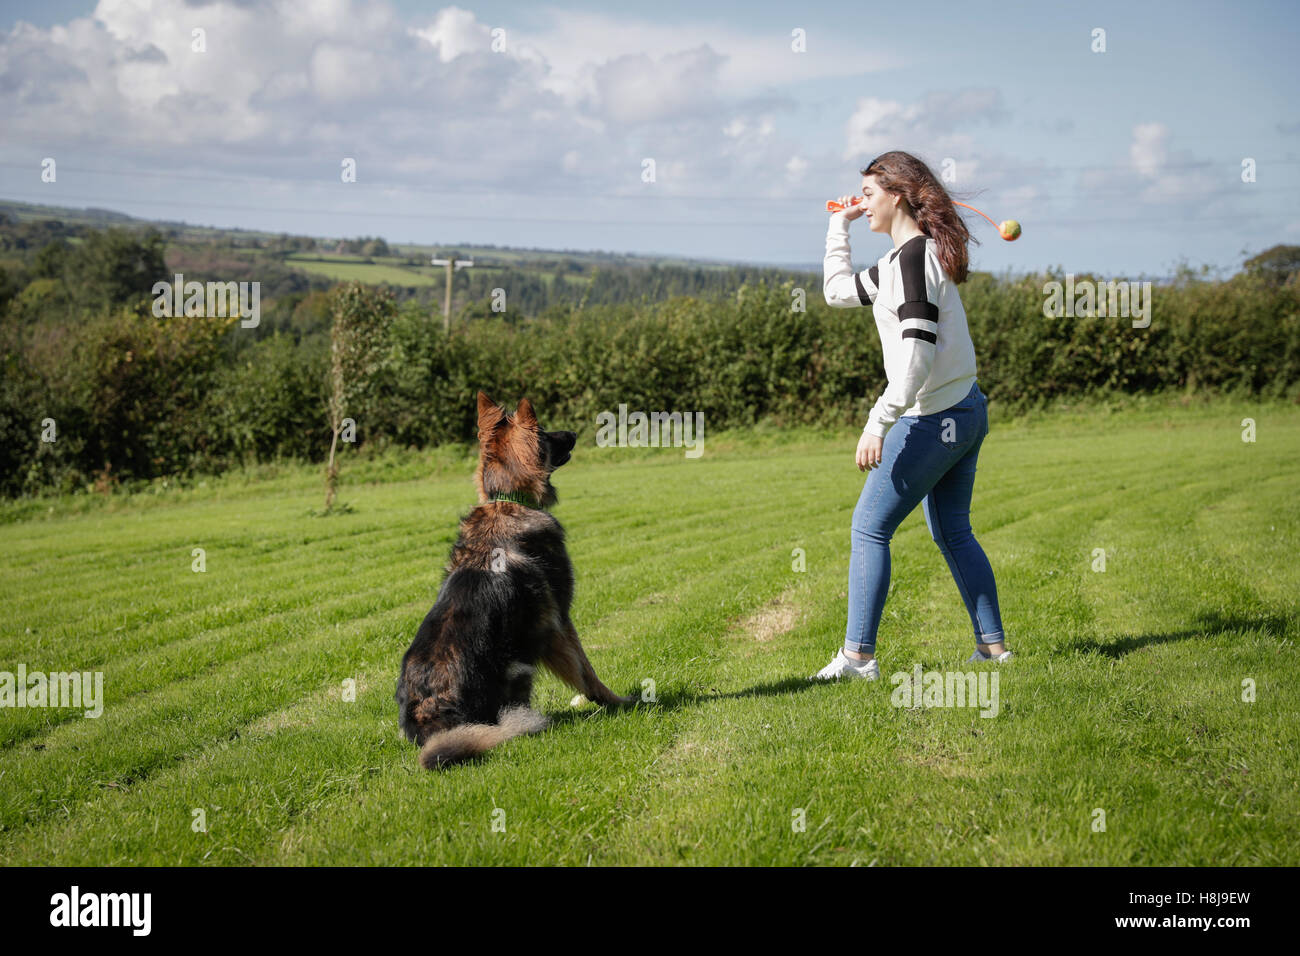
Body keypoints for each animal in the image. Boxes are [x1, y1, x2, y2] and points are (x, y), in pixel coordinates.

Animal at [397, 390, 637, 770]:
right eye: (546, 432)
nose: (573, 432)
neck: (508, 502)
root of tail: (426, 723)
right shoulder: (560, 622)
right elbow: (586, 671)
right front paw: (619, 702)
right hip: (518, 664)